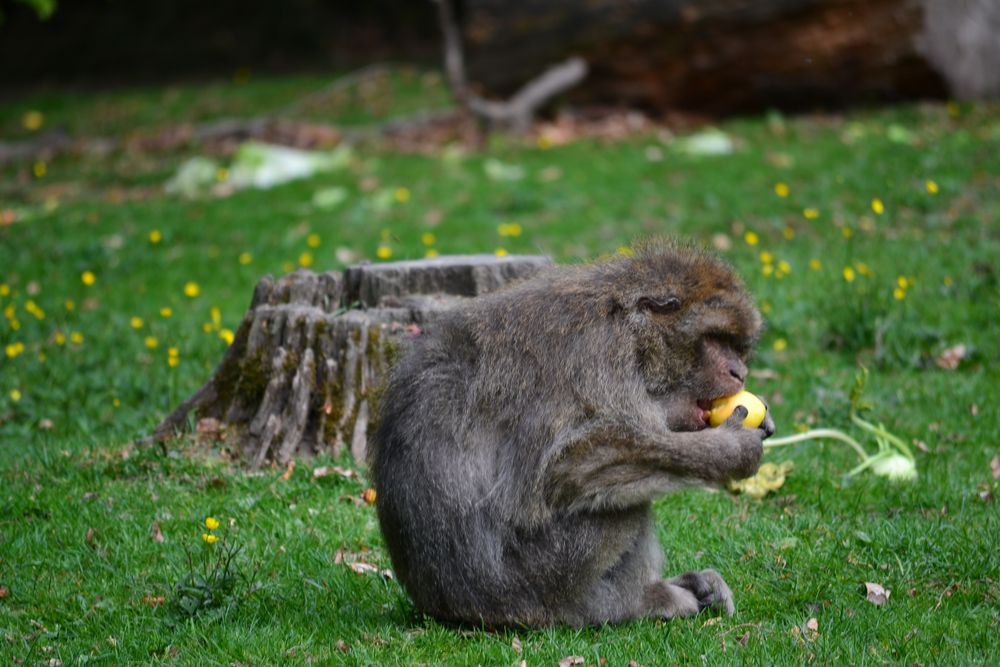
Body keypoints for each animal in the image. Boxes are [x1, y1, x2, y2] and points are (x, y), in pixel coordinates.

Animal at [368, 243, 772, 628]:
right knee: (616, 500)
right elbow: (567, 468)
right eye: (714, 338)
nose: (739, 371)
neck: (628, 330)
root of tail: (445, 607)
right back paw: (636, 602)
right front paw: (727, 450)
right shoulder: (595, 358)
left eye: (736, 346)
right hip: (537, 581)